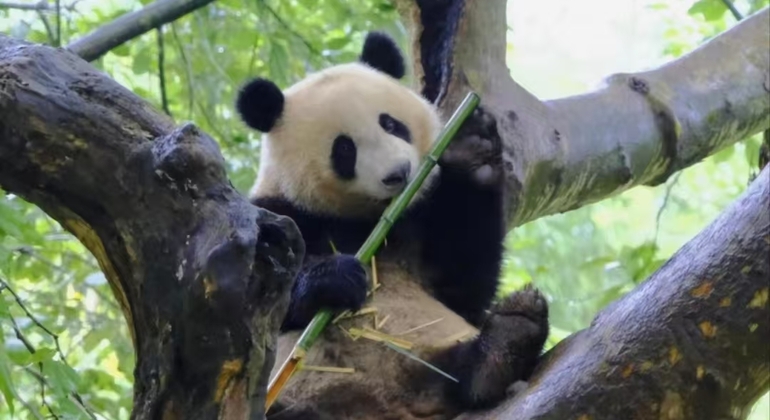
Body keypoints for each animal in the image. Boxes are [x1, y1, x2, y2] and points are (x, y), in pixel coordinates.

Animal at [236, 32, 549, 420]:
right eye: (344, 149)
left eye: (390, 124)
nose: (398, 173)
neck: (362, 219)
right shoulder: (278, 212)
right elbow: (253, 302)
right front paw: (335, 277)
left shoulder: (419, 221)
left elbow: (464, 287)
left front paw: (471, 150)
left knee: (458, 371)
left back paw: (506, 341)